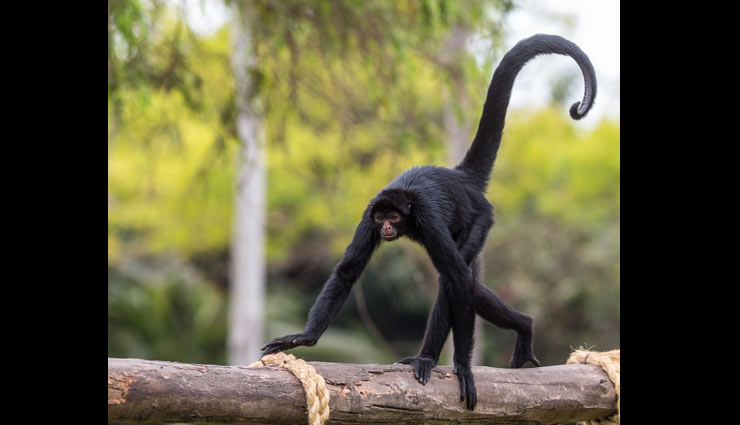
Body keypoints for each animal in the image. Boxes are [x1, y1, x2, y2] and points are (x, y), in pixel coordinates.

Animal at [261, 34, 597, 410]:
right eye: (382, 218)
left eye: (394, 217)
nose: (387, 227)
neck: (405, 205)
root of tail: (462, 178)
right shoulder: (367, 214)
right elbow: (348, 271)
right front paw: (303, 338)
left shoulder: (428, 217)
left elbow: (458, 278)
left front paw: (463, 367)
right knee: (466, 280)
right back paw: (513, 329)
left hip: (481, 219)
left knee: (454, 276)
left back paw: (445, 353)